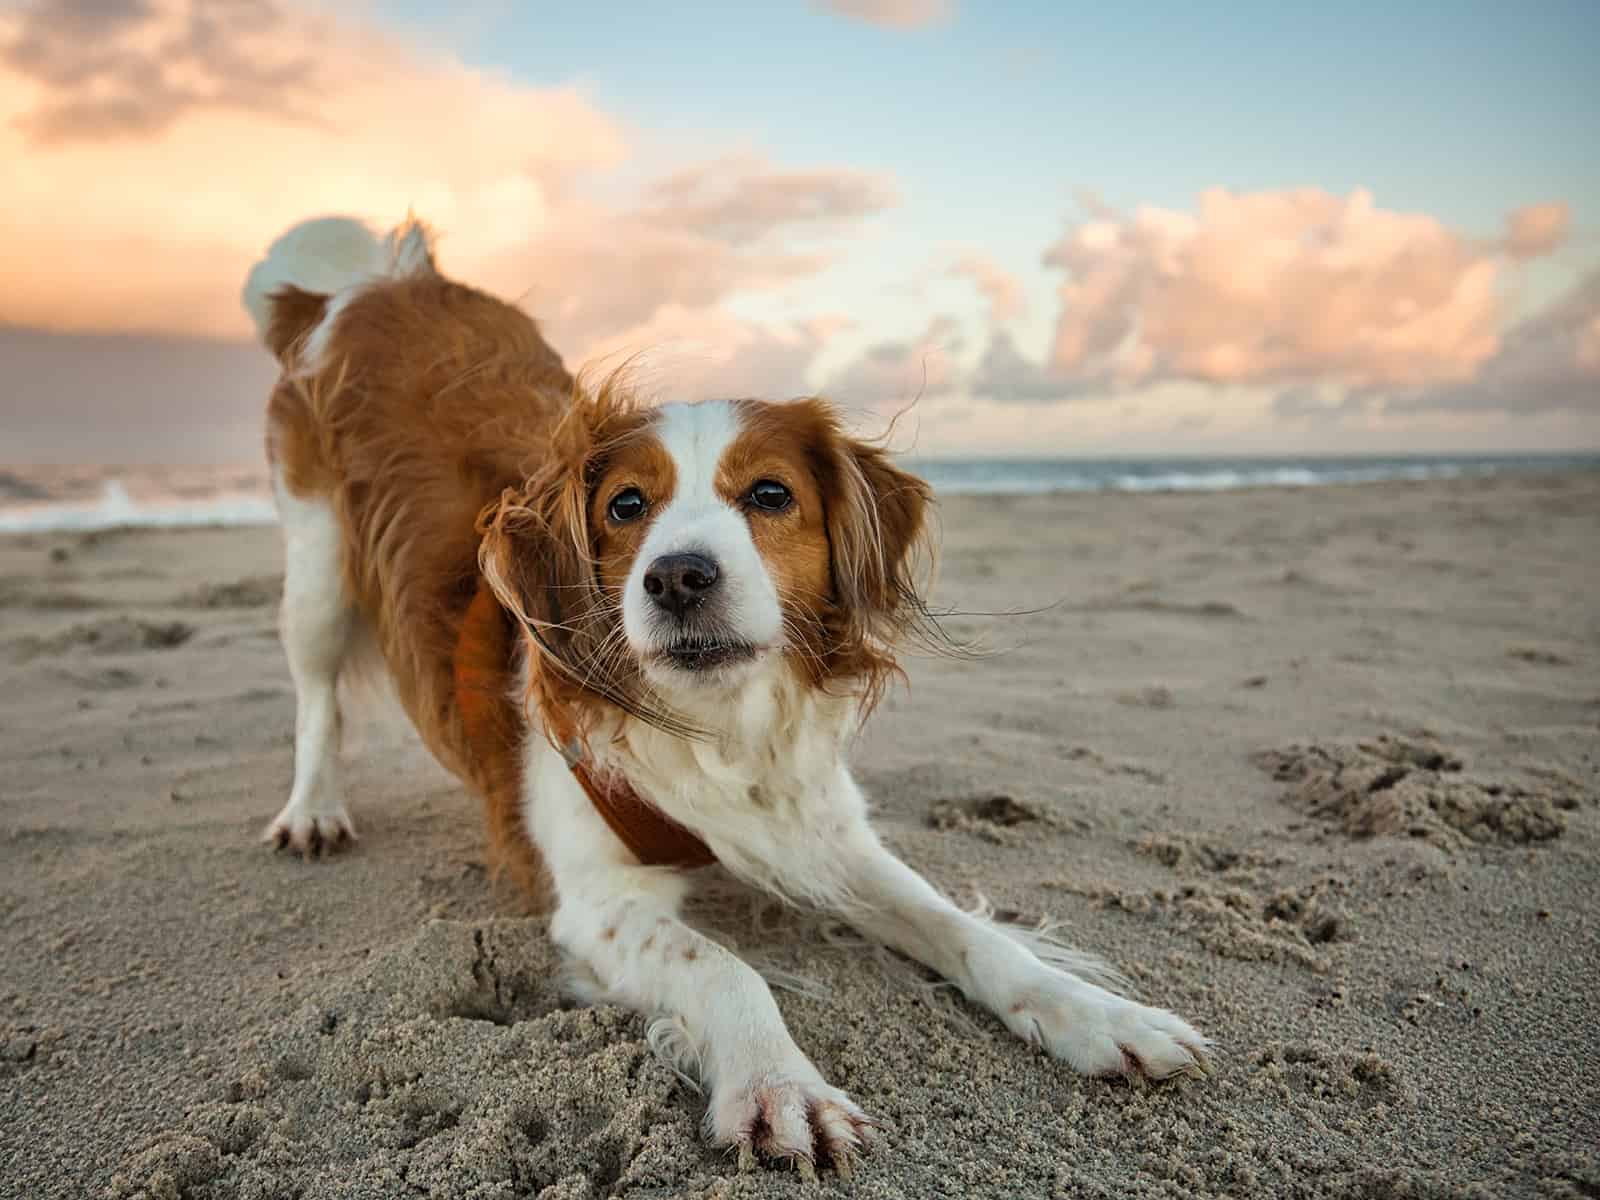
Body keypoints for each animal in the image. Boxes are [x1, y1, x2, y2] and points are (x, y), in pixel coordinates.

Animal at [243, 214, 1203, 1177]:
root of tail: (376, 283)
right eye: (625, 506)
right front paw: (780, 1085)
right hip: (316, 567)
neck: (720, 727)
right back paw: (312, 811)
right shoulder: (598, 904)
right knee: (316, 695)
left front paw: (1096, 1014)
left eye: (771, 494)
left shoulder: (826, 833)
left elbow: (966, 929)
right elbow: (723, 967)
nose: (676, 577)